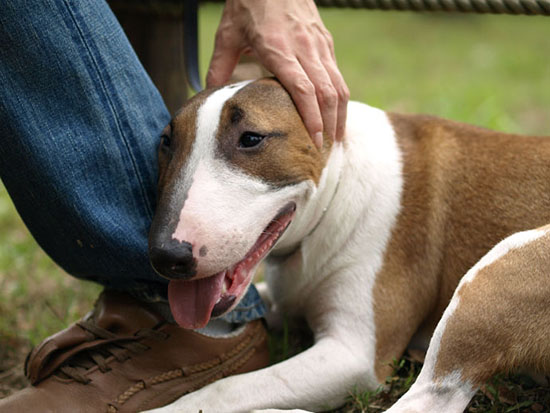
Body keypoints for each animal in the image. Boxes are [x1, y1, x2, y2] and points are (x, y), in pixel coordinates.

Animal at [147, 78, 550, 412]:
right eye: (166, 142)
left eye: (251, 138)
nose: (166, 256)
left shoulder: (353, 355)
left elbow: (224, 389)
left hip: (503, 267)